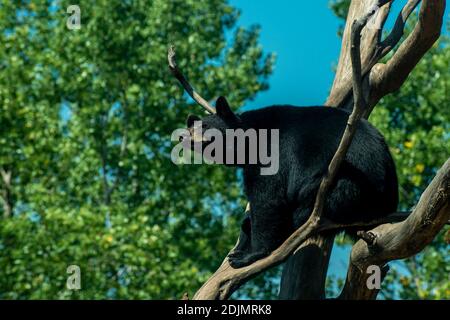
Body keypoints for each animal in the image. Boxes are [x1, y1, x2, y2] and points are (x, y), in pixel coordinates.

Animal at [182, 96, 398, 268]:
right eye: (192, 128)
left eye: (206, 127)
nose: (187, 138)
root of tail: (385, 205)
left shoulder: (271, 153)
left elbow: (267, 198)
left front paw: (249, 254)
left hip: (345, 183)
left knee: (304, 205)